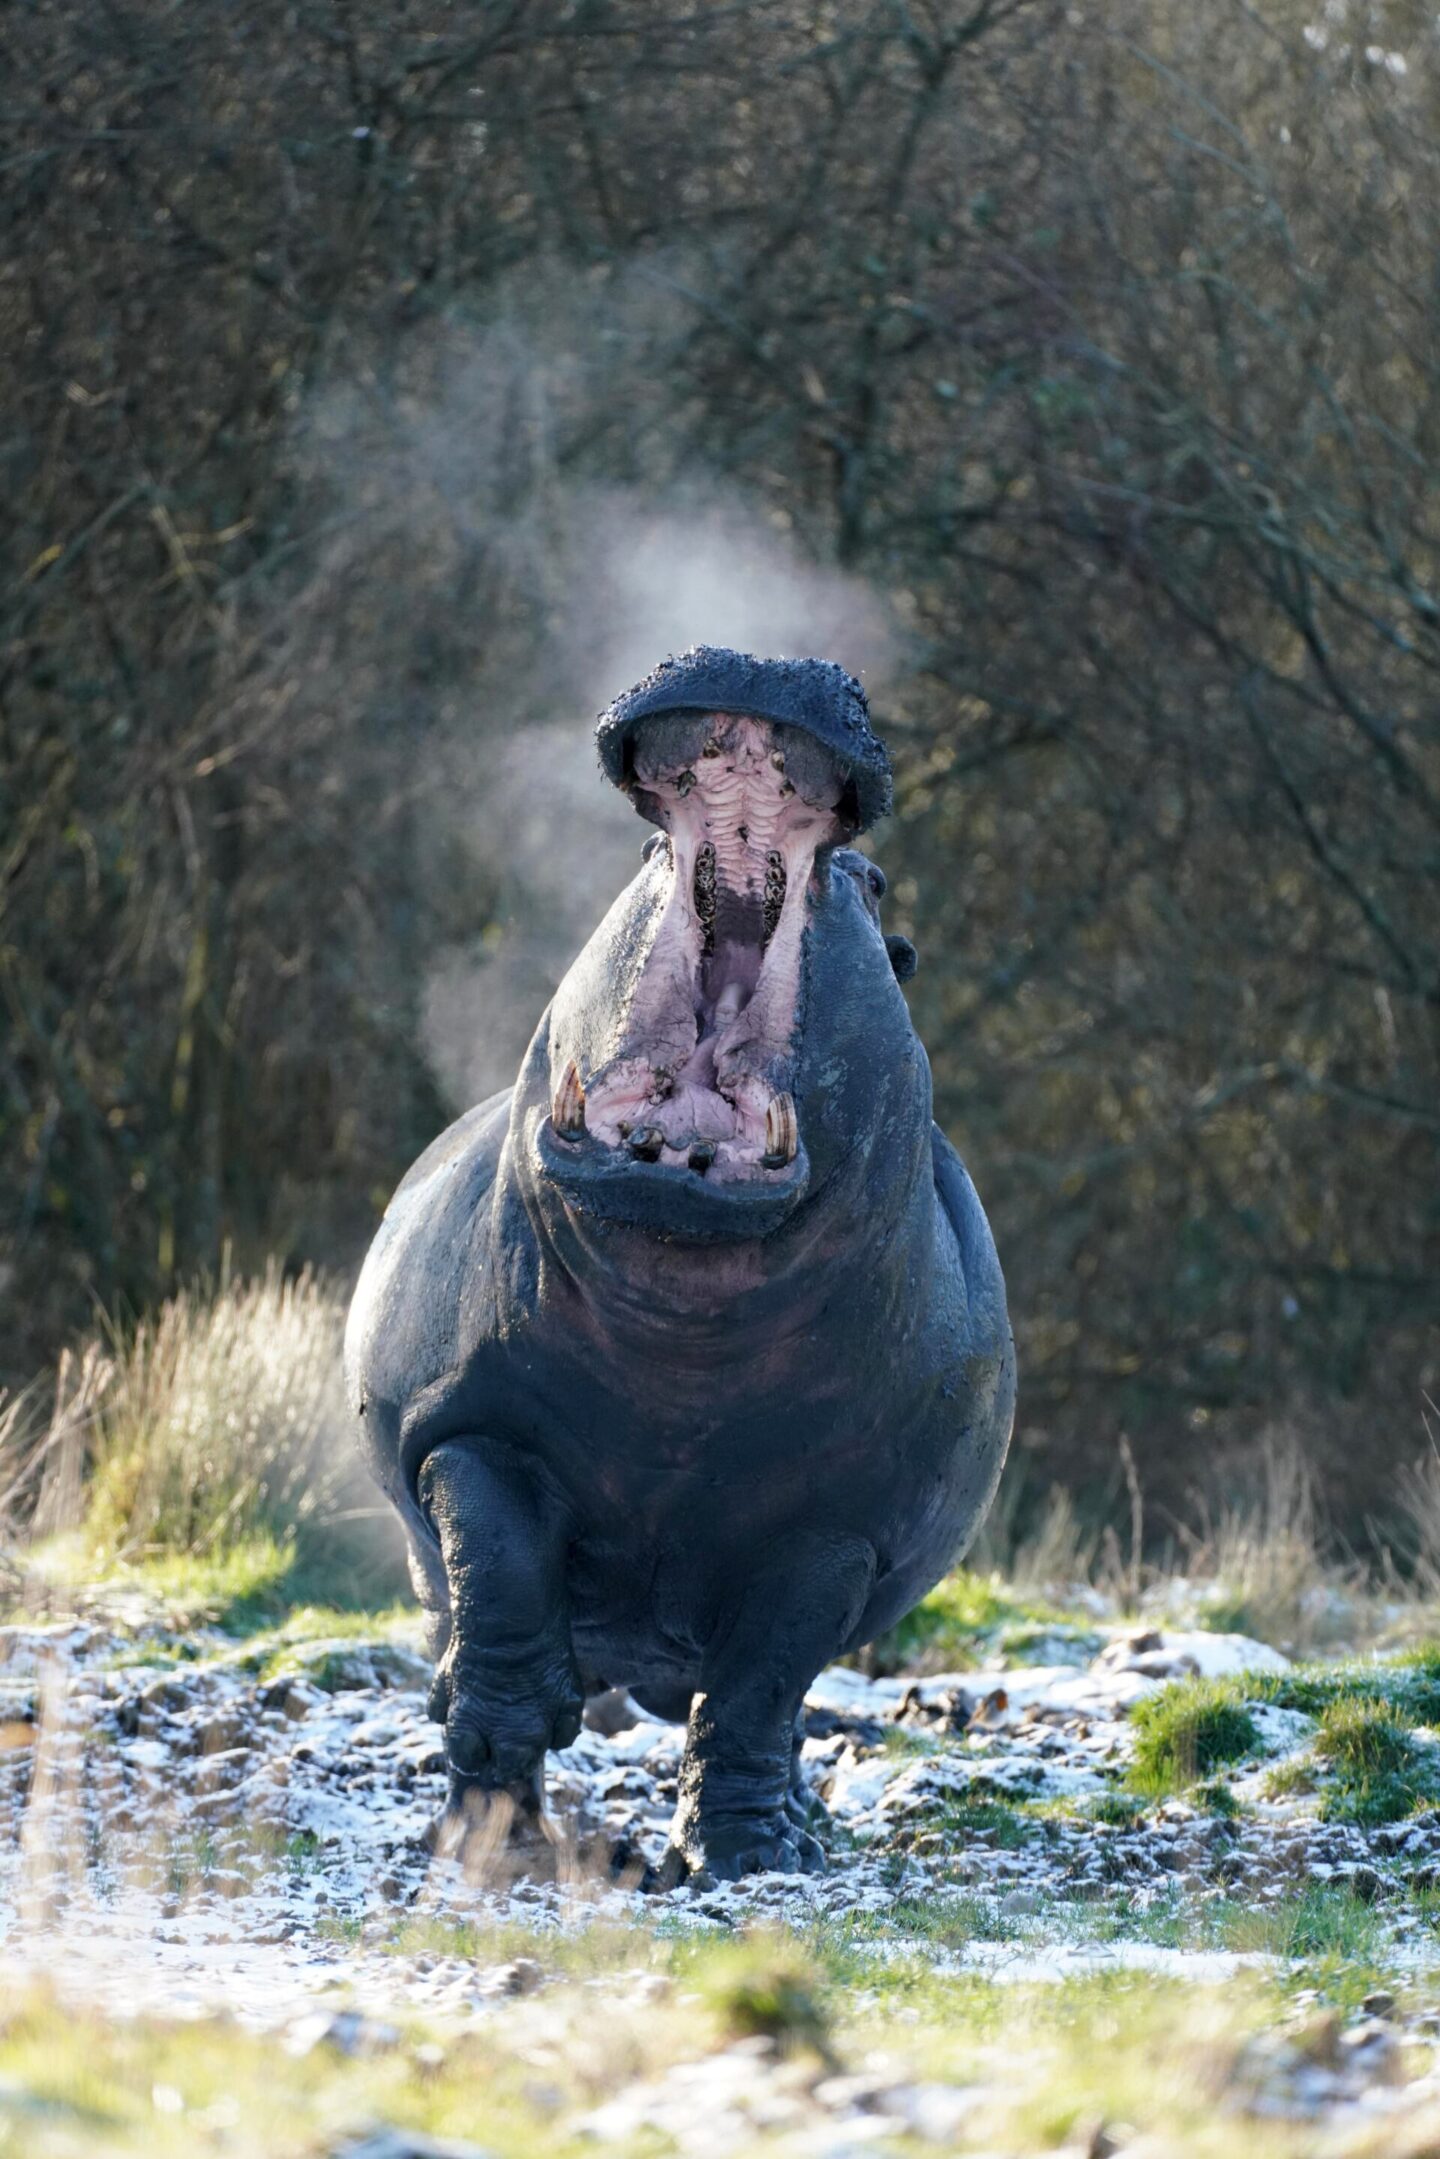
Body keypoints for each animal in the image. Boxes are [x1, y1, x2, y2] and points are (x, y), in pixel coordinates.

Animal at [345, 647, 1015, 1882]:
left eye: (879, 888)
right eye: (646, 855)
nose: (766, 656)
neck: (681, 1349)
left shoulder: (837, 1526)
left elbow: (760, 1685)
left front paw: (747, 1860)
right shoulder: (470, 1426)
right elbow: (501, 1594)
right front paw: (489, 1844)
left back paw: (795, 1823)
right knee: (471, 1624)